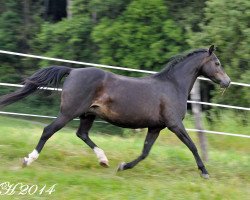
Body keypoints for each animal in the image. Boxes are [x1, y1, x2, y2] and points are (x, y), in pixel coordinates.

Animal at [0, 45, 230, 178]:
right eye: (217, 63)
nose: (227, 82)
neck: (173, 86)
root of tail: (73, 71)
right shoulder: (174, 124)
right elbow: (192, 146)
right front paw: (205, 172)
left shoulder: (155, 127)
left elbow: (145, 152)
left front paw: (122, 166)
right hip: (69, 112)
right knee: (48, 130)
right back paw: (28, 160)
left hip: (88, 114)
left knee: (82, 134)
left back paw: (103, 160)